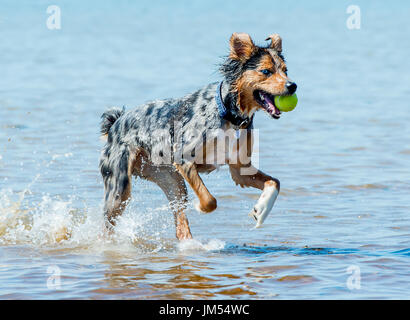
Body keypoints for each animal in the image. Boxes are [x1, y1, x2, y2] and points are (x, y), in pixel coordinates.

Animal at [99, 32, 298, 240]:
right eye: (266, 71)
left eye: (285, 70)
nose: (292, 86)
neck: (228, 114)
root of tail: (116, 122)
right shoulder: (184, 158)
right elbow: (210, 200)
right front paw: (200, 206)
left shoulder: (239, 168)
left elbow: (275, 182)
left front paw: (261, 210)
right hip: (119, 187)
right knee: (107, 224)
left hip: (170, 180)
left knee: (180, 223)